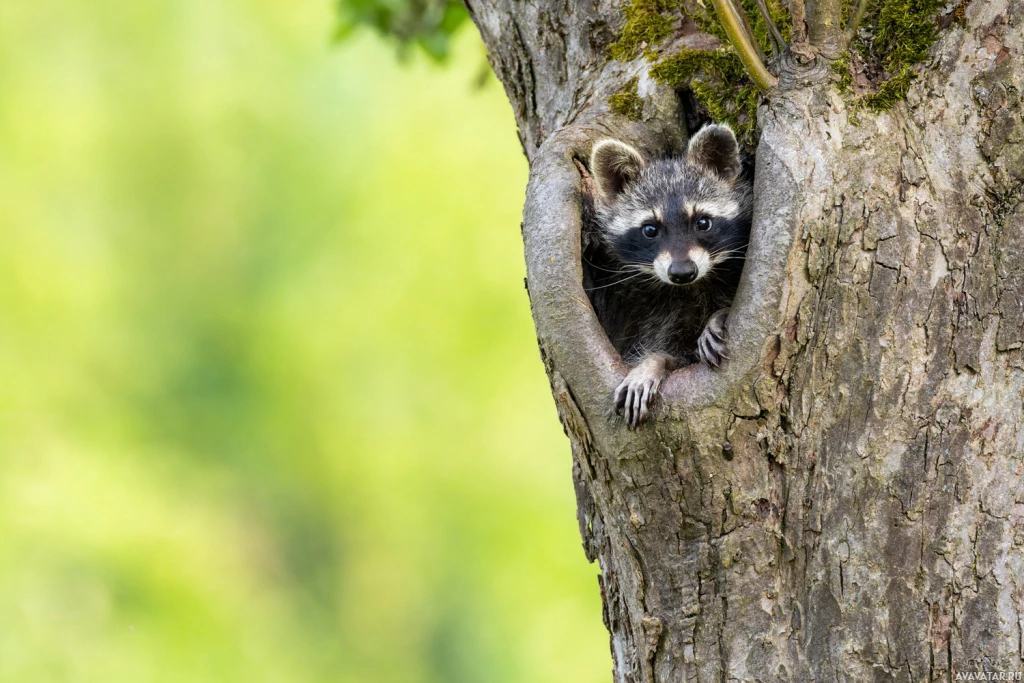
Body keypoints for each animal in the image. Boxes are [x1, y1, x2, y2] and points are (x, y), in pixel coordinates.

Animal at [585, 120, 753, 423]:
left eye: (703, 222)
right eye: (650, 229)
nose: (683, 272)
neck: (689, 289)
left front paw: (718, 317)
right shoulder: (654, 313)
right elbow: (671, 355)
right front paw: (651, 363)